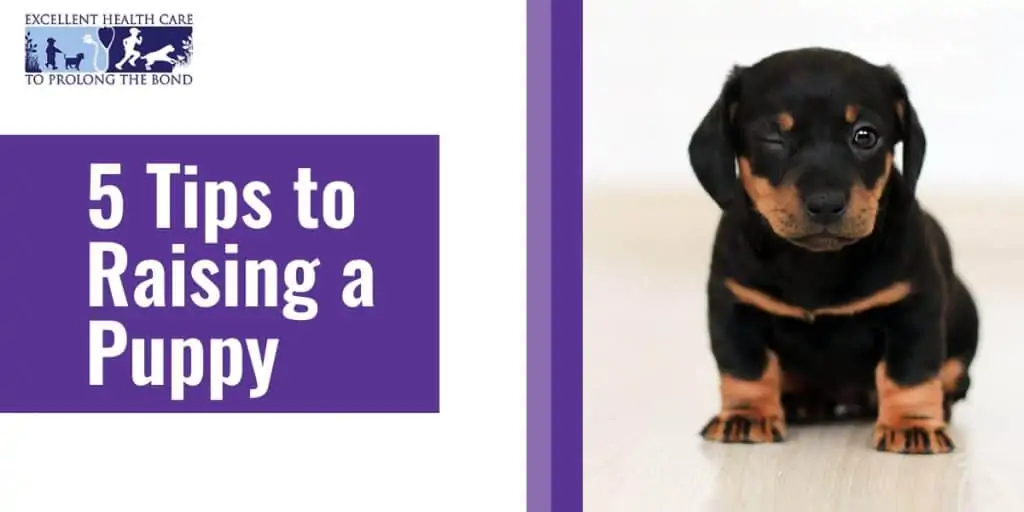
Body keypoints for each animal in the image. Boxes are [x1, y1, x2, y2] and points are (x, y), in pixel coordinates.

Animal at [688, 48, 974, 456]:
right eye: (773, 138)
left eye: (865, 136)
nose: (825, 203)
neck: (814, 264)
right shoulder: (735, 306)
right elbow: (745, 368)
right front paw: (746, 417)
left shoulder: (912, 307)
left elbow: (910, 371)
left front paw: (912, 425)